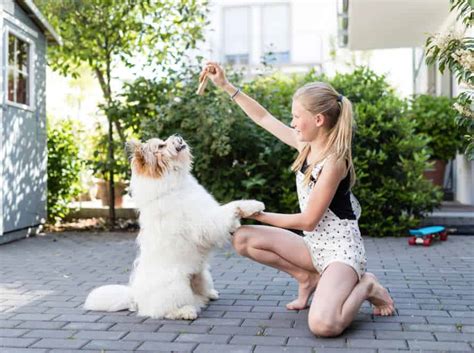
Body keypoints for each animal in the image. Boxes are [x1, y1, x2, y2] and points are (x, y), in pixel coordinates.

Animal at [84, 134, 264, 320]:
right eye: (161, 146)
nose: (177, 136)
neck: (174, 184)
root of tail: (135, 297)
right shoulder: (205, 222)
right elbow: (230, 208)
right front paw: (253, 205)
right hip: (177, 287)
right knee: (163, 310)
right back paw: (186, 311)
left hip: (203, 274)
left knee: (199, 294)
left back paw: (209, 294)